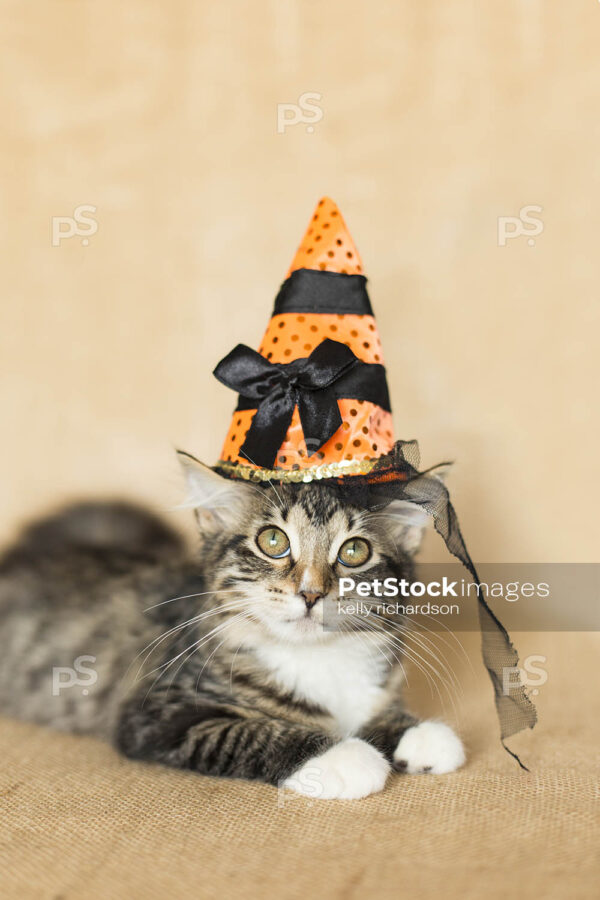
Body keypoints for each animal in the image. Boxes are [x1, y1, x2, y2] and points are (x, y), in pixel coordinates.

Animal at [0, 454, 464, 800]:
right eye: (274, 542)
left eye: (354, 551)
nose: (311, 593)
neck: (317, 658)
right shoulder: (156, 712)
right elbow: (251, 732)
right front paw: (343, 757)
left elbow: (381, 711)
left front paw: (416, 733)